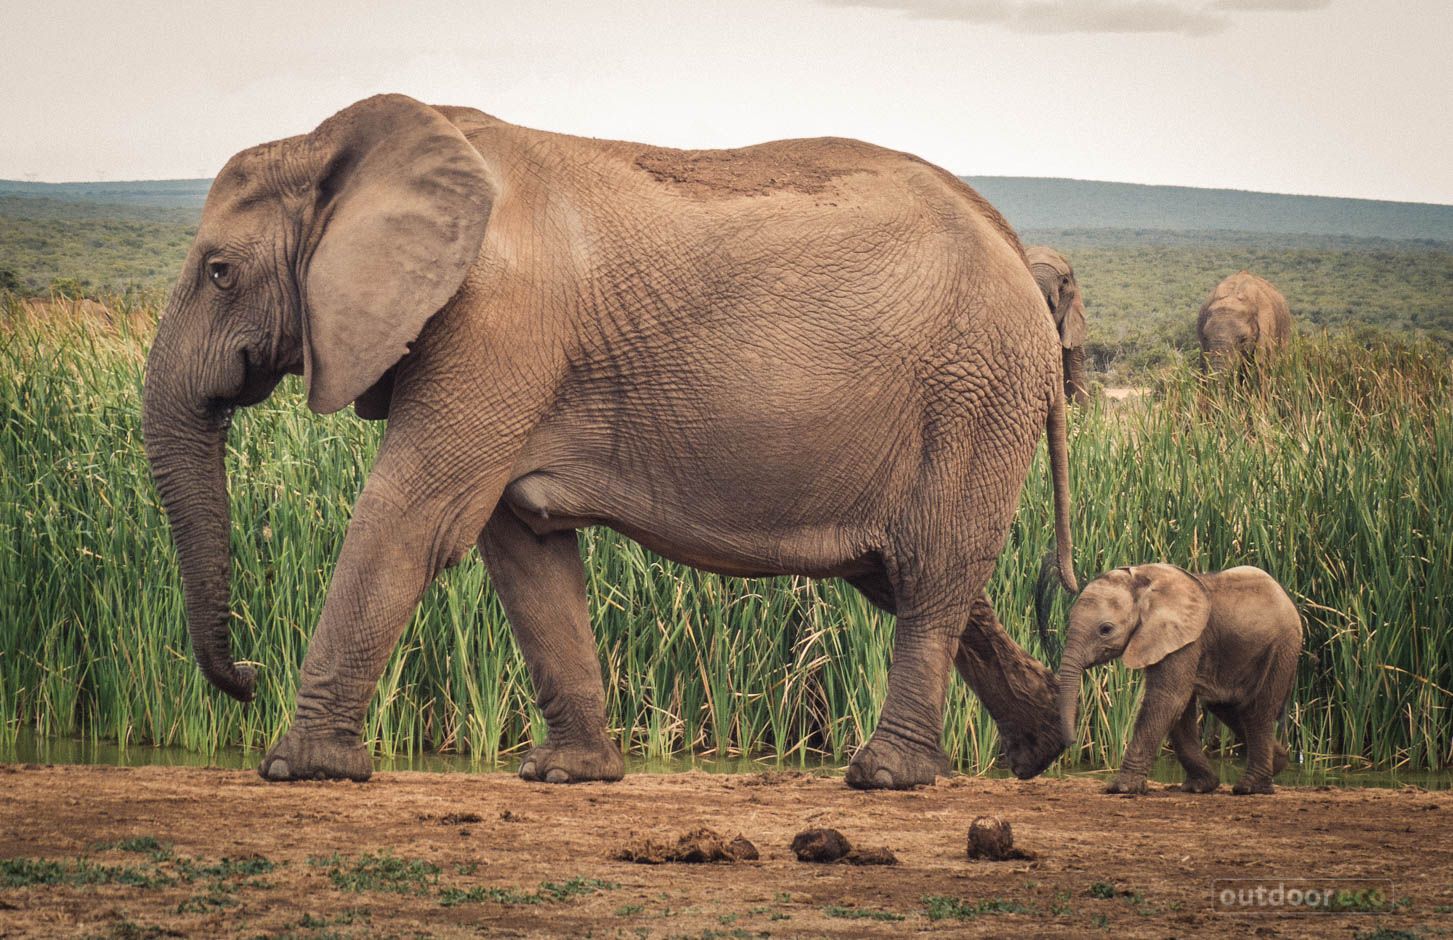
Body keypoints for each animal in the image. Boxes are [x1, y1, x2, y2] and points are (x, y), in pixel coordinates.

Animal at [141, 95, 1081, 790]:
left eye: (220, 272)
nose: (245, 673)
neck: (331, 145)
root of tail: (1012, 244)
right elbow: (523, 551)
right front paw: (568, 776)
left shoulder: (496, 323)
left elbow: (413, 515)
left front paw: (297, 768)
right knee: (910, 577)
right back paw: (1042, 744)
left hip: (973, 391)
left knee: (929, 576)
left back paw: (886, 777)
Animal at [1057, 566, 1307, 796]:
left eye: (1106, 629)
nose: (1072, 742)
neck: (1143, 582)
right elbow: (1179, 706)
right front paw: (1199, 786)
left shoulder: (1183, 639)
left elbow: (1168, 698)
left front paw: (1122, 787)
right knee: (1227, 706)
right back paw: (1278, 762)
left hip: (1281, 648)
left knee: (1258, 711)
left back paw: (1250, 788)